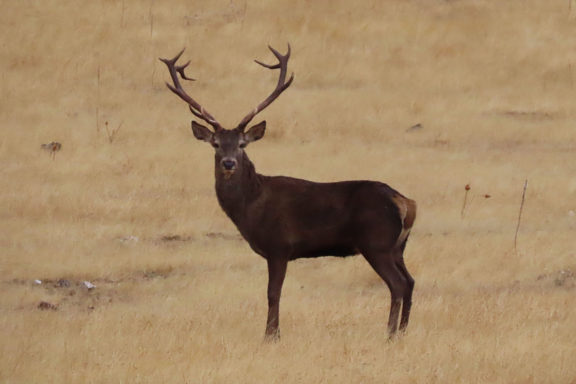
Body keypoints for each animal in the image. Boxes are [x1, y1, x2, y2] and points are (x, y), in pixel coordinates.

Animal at [160, 45, 416, 342]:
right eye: (215, 144)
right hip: (398, 246)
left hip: (377, 243)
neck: (250, 208)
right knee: (410, 281)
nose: (229, 163)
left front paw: (271, 335)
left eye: (242, 144)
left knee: (397, 284)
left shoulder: (279, 245)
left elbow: (273, 293)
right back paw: (403, 332)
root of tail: (405, 202)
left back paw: (389, 334)